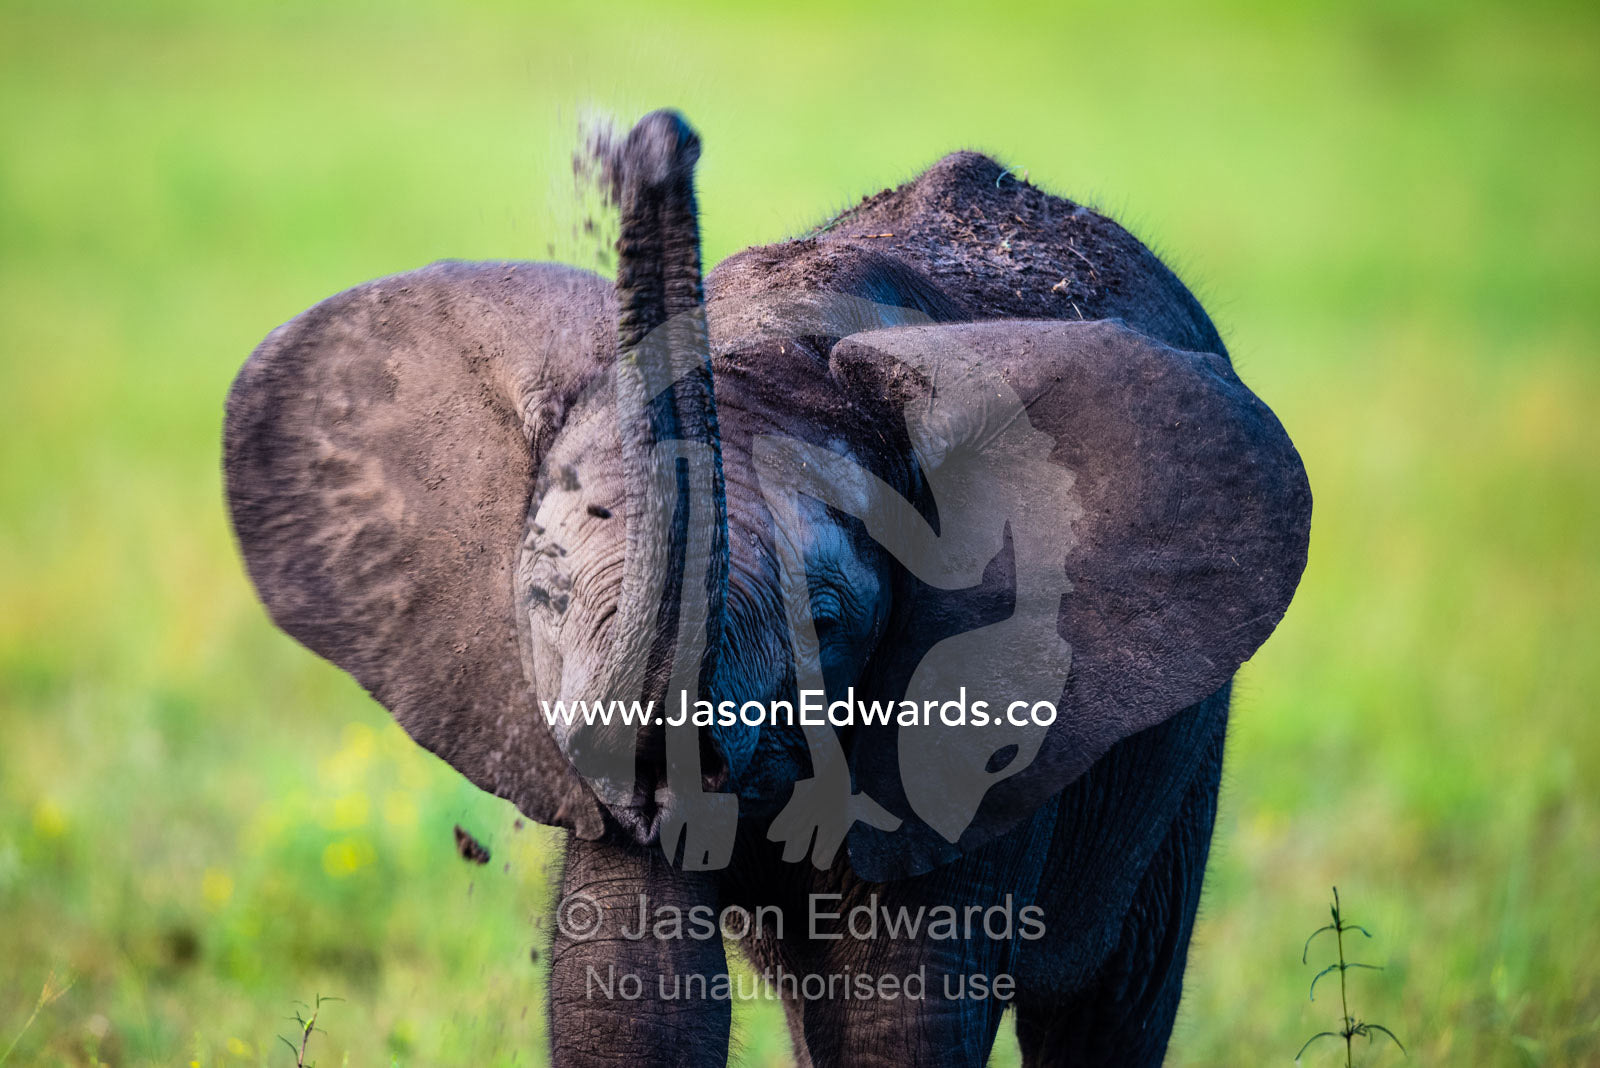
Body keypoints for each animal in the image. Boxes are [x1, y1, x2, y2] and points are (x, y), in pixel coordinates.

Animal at [224, 109, 1310, 1066]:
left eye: (824, 623)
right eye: (545, 602)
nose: (658, 138)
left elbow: (893, 1015)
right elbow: (628, 992)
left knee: (1111, 1003)